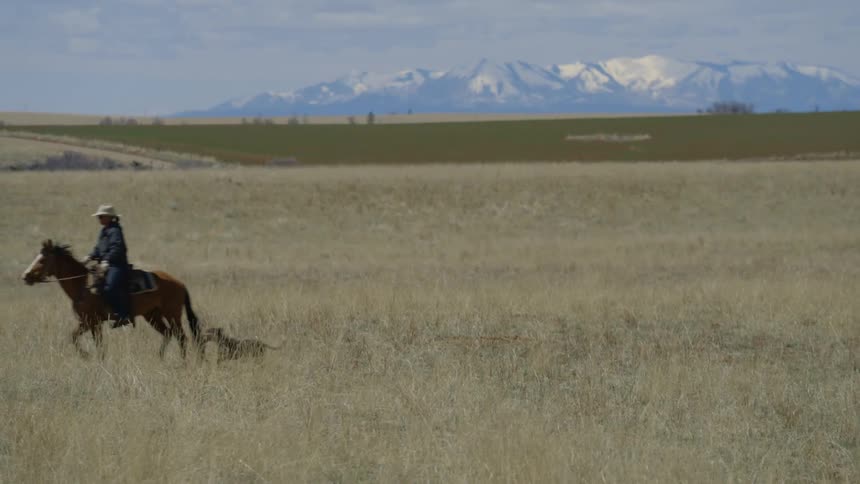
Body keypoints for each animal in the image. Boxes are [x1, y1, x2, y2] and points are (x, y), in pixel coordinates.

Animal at [21, 239, 201, 360]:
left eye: (42, 260)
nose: (25, 276)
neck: (83, 285)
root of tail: (180, 283)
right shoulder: (91, 322)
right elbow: (87, 341)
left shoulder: (90, 321)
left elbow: (79, 338)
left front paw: (87, 356)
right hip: (152, 315)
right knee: (168, 334)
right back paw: (160, 358)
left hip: (172, 314)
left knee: (181, 337)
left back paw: (182, 362)